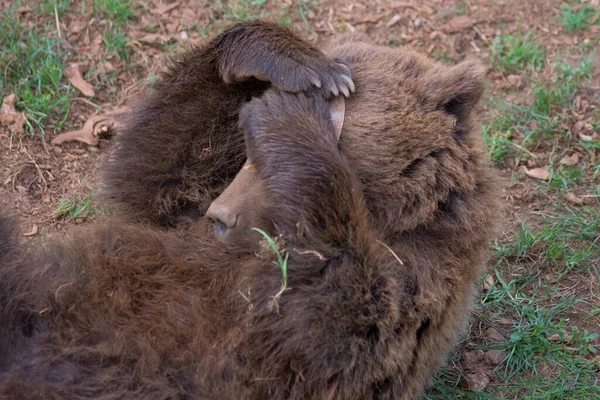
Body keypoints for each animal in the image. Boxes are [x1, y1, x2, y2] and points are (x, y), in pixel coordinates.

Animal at [0, 21, 496, 400]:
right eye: (246, 152)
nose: (220, 215)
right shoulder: (188, 218)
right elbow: (154, 171)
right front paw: (301, 66)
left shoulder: (418, 284)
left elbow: (337, 320)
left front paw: (293, 114)